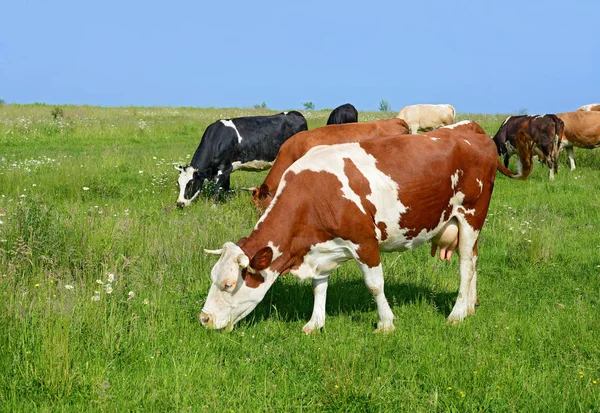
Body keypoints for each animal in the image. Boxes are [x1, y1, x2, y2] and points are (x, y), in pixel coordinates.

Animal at [173, 111, 304, 206]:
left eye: (190, 183)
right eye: (179, 183)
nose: (179, 204)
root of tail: (296, 113)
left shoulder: (224, 169)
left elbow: (217, 190)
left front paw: (213, 207)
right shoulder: (226, 170)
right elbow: (225, 188)